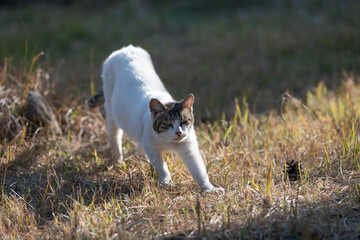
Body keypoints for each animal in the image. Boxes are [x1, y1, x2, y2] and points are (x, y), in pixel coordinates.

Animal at [88, 44, 221, 191]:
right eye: (167, 124)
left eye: (183, 121)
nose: (178, 133)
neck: (169, 142)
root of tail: (125, 49)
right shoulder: (151, 146)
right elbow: (161, 166)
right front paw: (166, 182)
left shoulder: (188, 147)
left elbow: (199, 170)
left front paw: (209, 189)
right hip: (111, 112)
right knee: (115, 137)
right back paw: (119, 161)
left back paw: (141, 161)